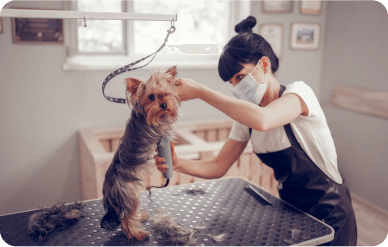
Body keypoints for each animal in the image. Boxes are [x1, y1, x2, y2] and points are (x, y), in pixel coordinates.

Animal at [99, 66, 180, 240]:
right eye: (151, 97)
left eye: (166, 93)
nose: (164, 105)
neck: (146, 115)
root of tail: (107, 193)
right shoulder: (161, 131)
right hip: (129, 195)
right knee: (126, 219)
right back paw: (137, 234)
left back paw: (140, 217)